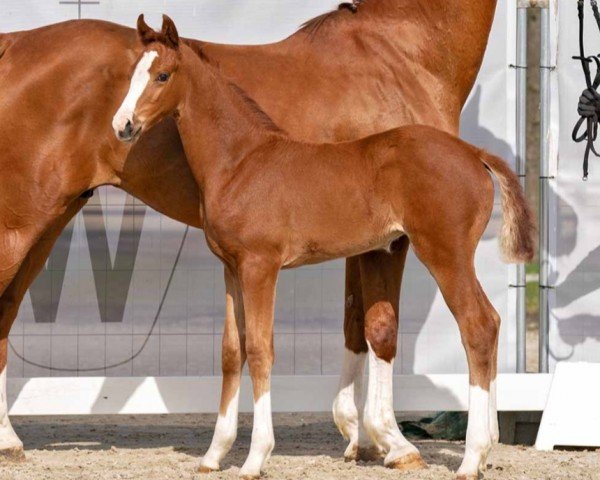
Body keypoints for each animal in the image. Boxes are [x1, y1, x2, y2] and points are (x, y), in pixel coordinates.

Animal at [112, 16, 536, 478]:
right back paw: (486, 447)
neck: (241, 160)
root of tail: (474, 153)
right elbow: (230, 350)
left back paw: (472, 457)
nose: (122, 125)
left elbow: (259, 349)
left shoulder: (261, 266)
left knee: (478, 325)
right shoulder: (231, 267)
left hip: (445, 253)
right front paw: (213, 455)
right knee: (490, 323)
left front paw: (255, 457)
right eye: (133, 72)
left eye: (162, 75)